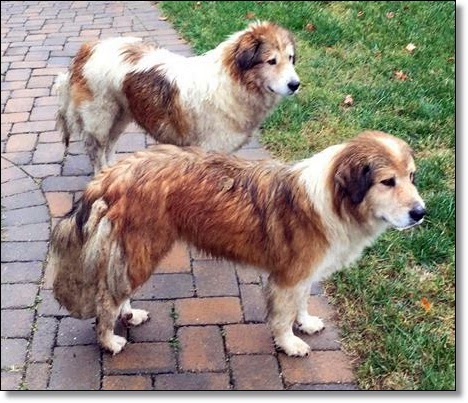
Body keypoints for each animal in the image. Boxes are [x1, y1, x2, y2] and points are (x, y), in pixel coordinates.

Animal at [49, 131, 425, 356]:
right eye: (387, 182)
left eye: (412, 177)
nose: (421, 213)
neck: (334, 198)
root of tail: (112, 173)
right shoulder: (287, 278)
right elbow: (282, 316)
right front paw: (289, 343)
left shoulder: (303, 273)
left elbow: (302, 303)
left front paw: (305, 323)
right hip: (144, 249)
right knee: (106, 298)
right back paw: (109, 339)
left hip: (133, 251)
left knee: (117, 288)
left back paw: (128, 314)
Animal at [53, 21, 300, 173]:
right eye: (271, 61)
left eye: (290, 58)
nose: (296, 85)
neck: (232, 83)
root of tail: (88, 48)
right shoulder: (209, 150)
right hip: (100, 118)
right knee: (97, 151)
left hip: (121, 115)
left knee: (109, 146)